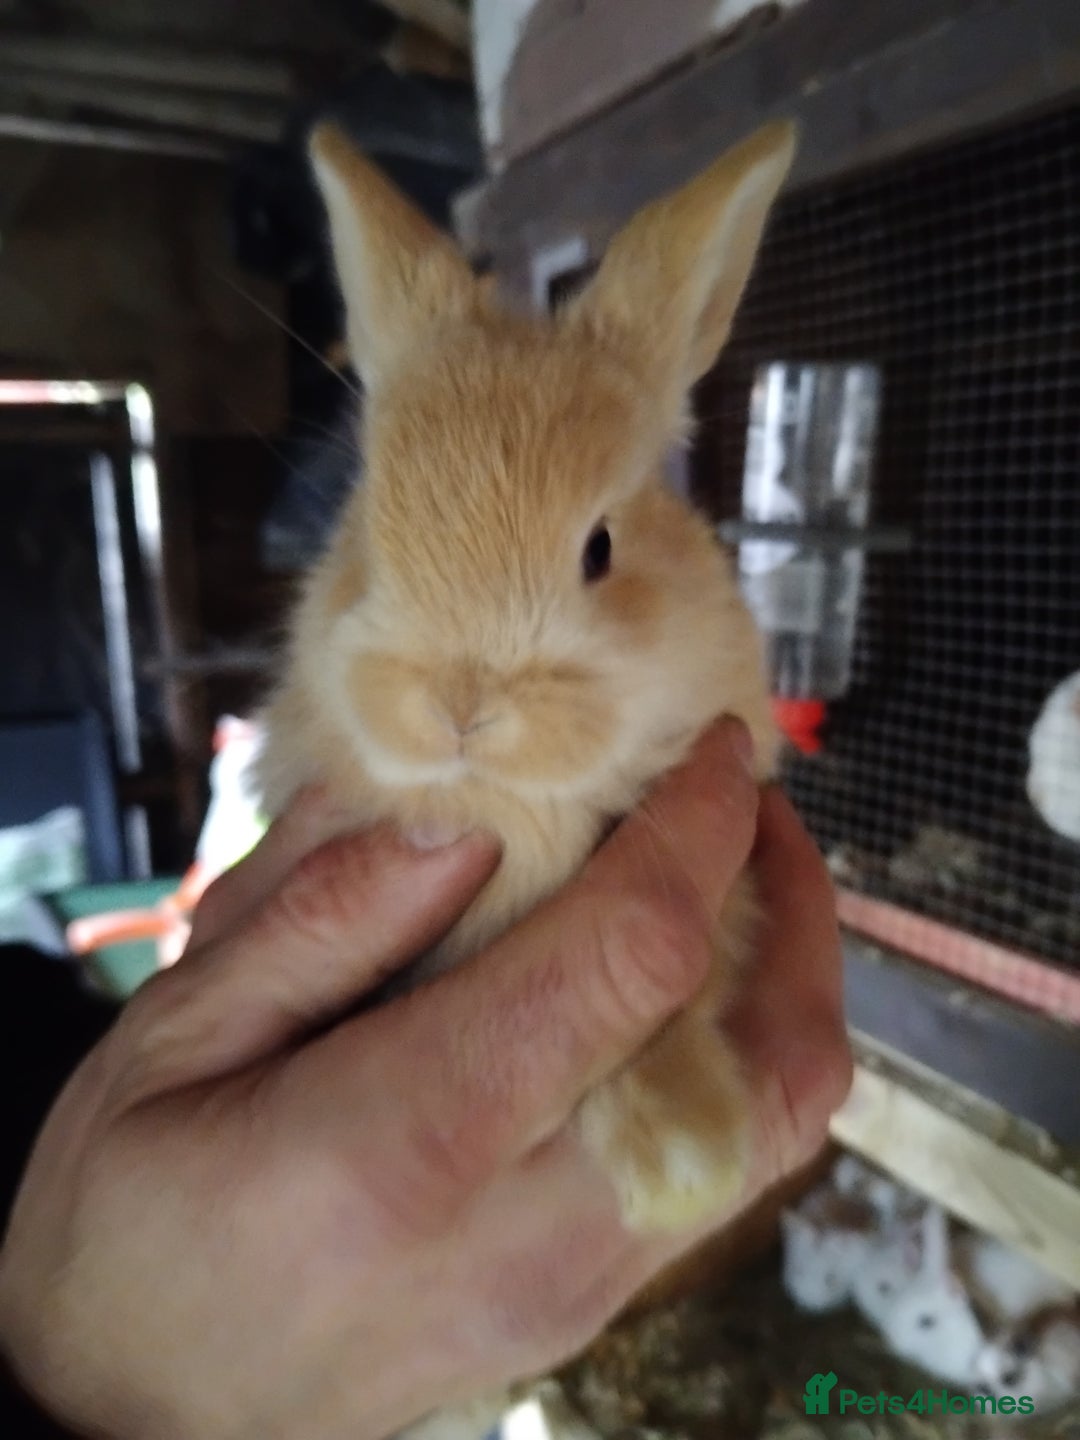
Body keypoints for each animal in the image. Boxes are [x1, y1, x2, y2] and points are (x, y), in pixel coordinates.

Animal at [257, 119, 796, 1438]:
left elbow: (677, 1004)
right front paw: (688, 1164)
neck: (514, 803)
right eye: (370, 531)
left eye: (600, 548)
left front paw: (685, 1158)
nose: (458, 707)